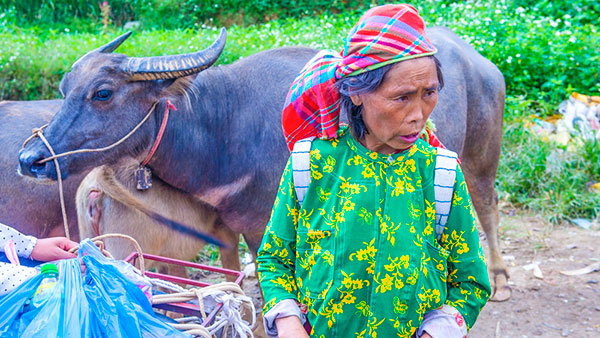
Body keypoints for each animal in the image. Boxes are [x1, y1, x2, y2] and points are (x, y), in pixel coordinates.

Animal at [18, 27, 508, 300]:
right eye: (64, 87)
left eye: (102, 93)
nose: (30, 159)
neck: (225, 127)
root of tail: (482, 62)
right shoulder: (232, 223)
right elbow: (231, 269)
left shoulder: (269, 225)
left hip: (481, 155)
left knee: (487, 204)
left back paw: (500, 279)